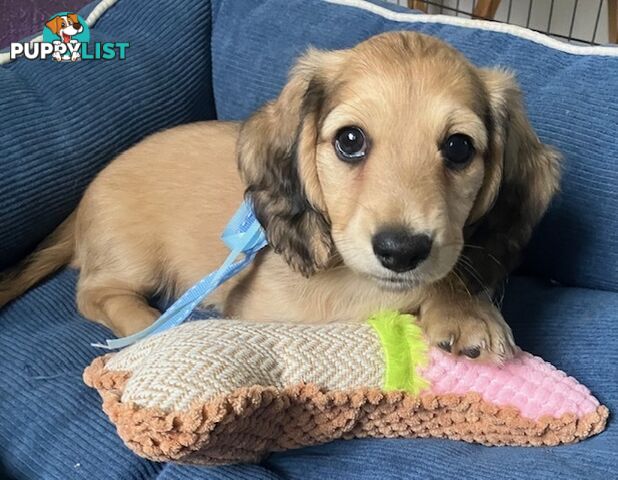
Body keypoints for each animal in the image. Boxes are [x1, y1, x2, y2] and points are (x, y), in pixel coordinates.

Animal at [0, 31, 560, 362]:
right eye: (350, 141)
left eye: (459, 147)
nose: (401, 251)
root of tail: (83, 199)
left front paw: (466, 309)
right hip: (133, 258)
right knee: (95, 294)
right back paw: (156, 326)